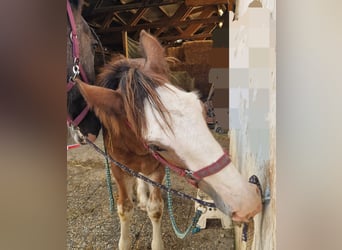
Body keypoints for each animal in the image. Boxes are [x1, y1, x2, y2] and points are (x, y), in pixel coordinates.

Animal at [75, 29, 262, 250]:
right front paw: (125, 240)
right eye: (156, 146)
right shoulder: (118, 169)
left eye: (201, 109)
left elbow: (155, 208)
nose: (247, 200)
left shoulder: (158, 169)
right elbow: (124, 209)